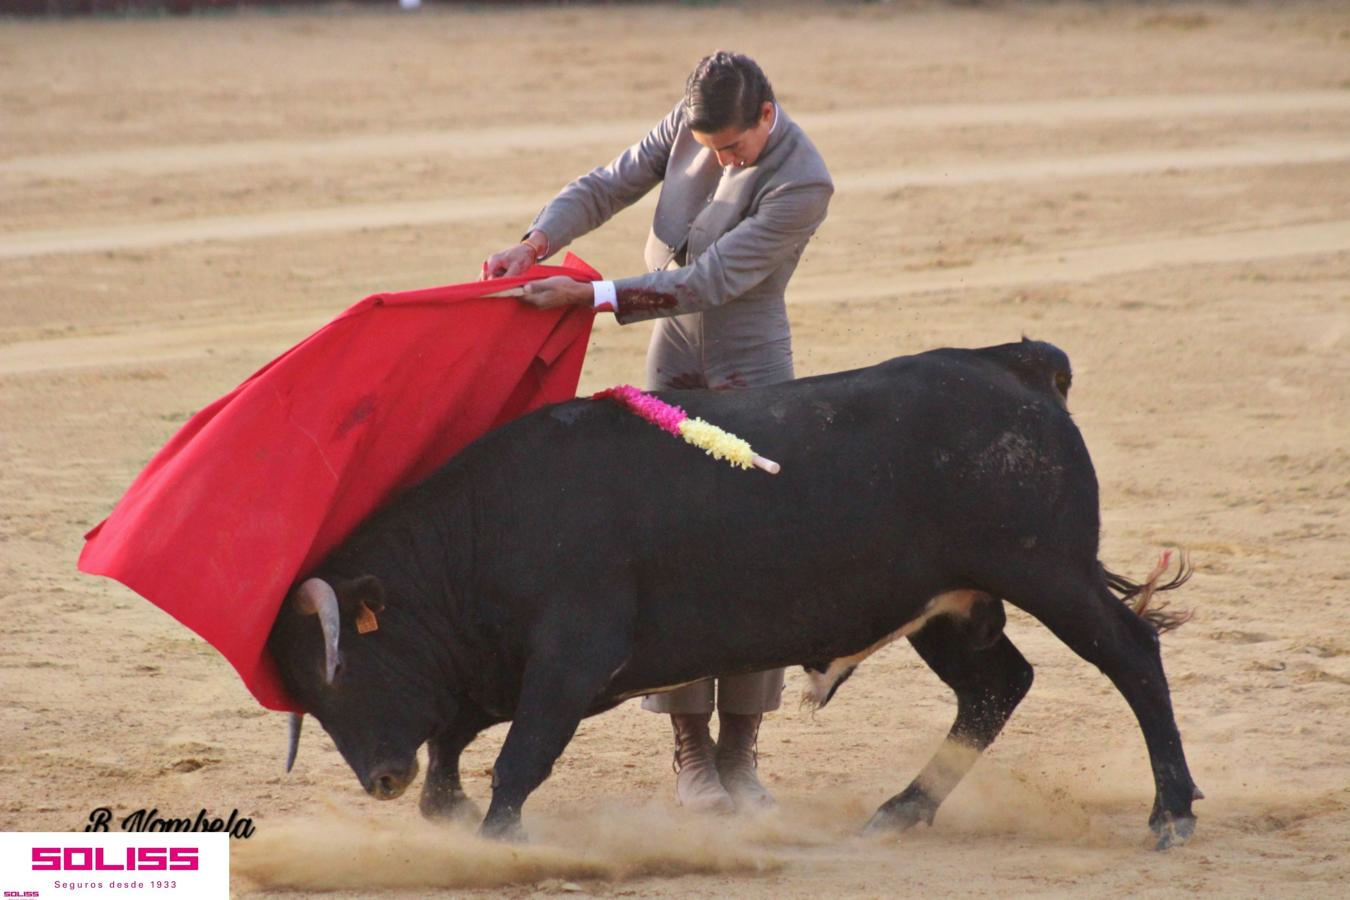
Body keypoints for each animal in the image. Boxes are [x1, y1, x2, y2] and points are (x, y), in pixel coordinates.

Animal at [268, 341, 1198, 847]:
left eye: (346, 670)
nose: (380, 779)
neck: (482, 530)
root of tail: (1016, 367)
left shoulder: (573, 656)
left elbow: (519, 754)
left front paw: (496, 840)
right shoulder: (502, 668)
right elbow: (459, 736)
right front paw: (446, 809)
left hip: (1049, 573)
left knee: (1131, 657)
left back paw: (1171, 816)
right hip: (947, 606)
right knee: (997, 686)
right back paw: (898, 813)